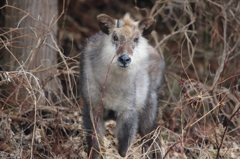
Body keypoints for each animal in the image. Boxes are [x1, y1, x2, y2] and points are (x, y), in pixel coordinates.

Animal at [80, 13, 165, 158]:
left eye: (136, 39)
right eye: (115, 37)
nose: (124, 59)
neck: (113, 86)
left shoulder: (128, 112)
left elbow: (124, 148)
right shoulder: (92, 108)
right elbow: (94, 145)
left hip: (149, 110)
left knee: (152, 137)